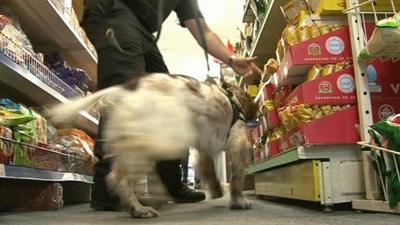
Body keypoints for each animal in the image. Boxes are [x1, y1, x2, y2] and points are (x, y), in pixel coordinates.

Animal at [49, 74, 256, 218]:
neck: (232, 99)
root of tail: (123, 90)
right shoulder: (239, 145)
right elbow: (237, 179)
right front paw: (239, 201)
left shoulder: (204, 146)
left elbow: (209, 170)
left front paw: (217, 190)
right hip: (158, 143)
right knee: (118, 178)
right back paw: (139, 210)